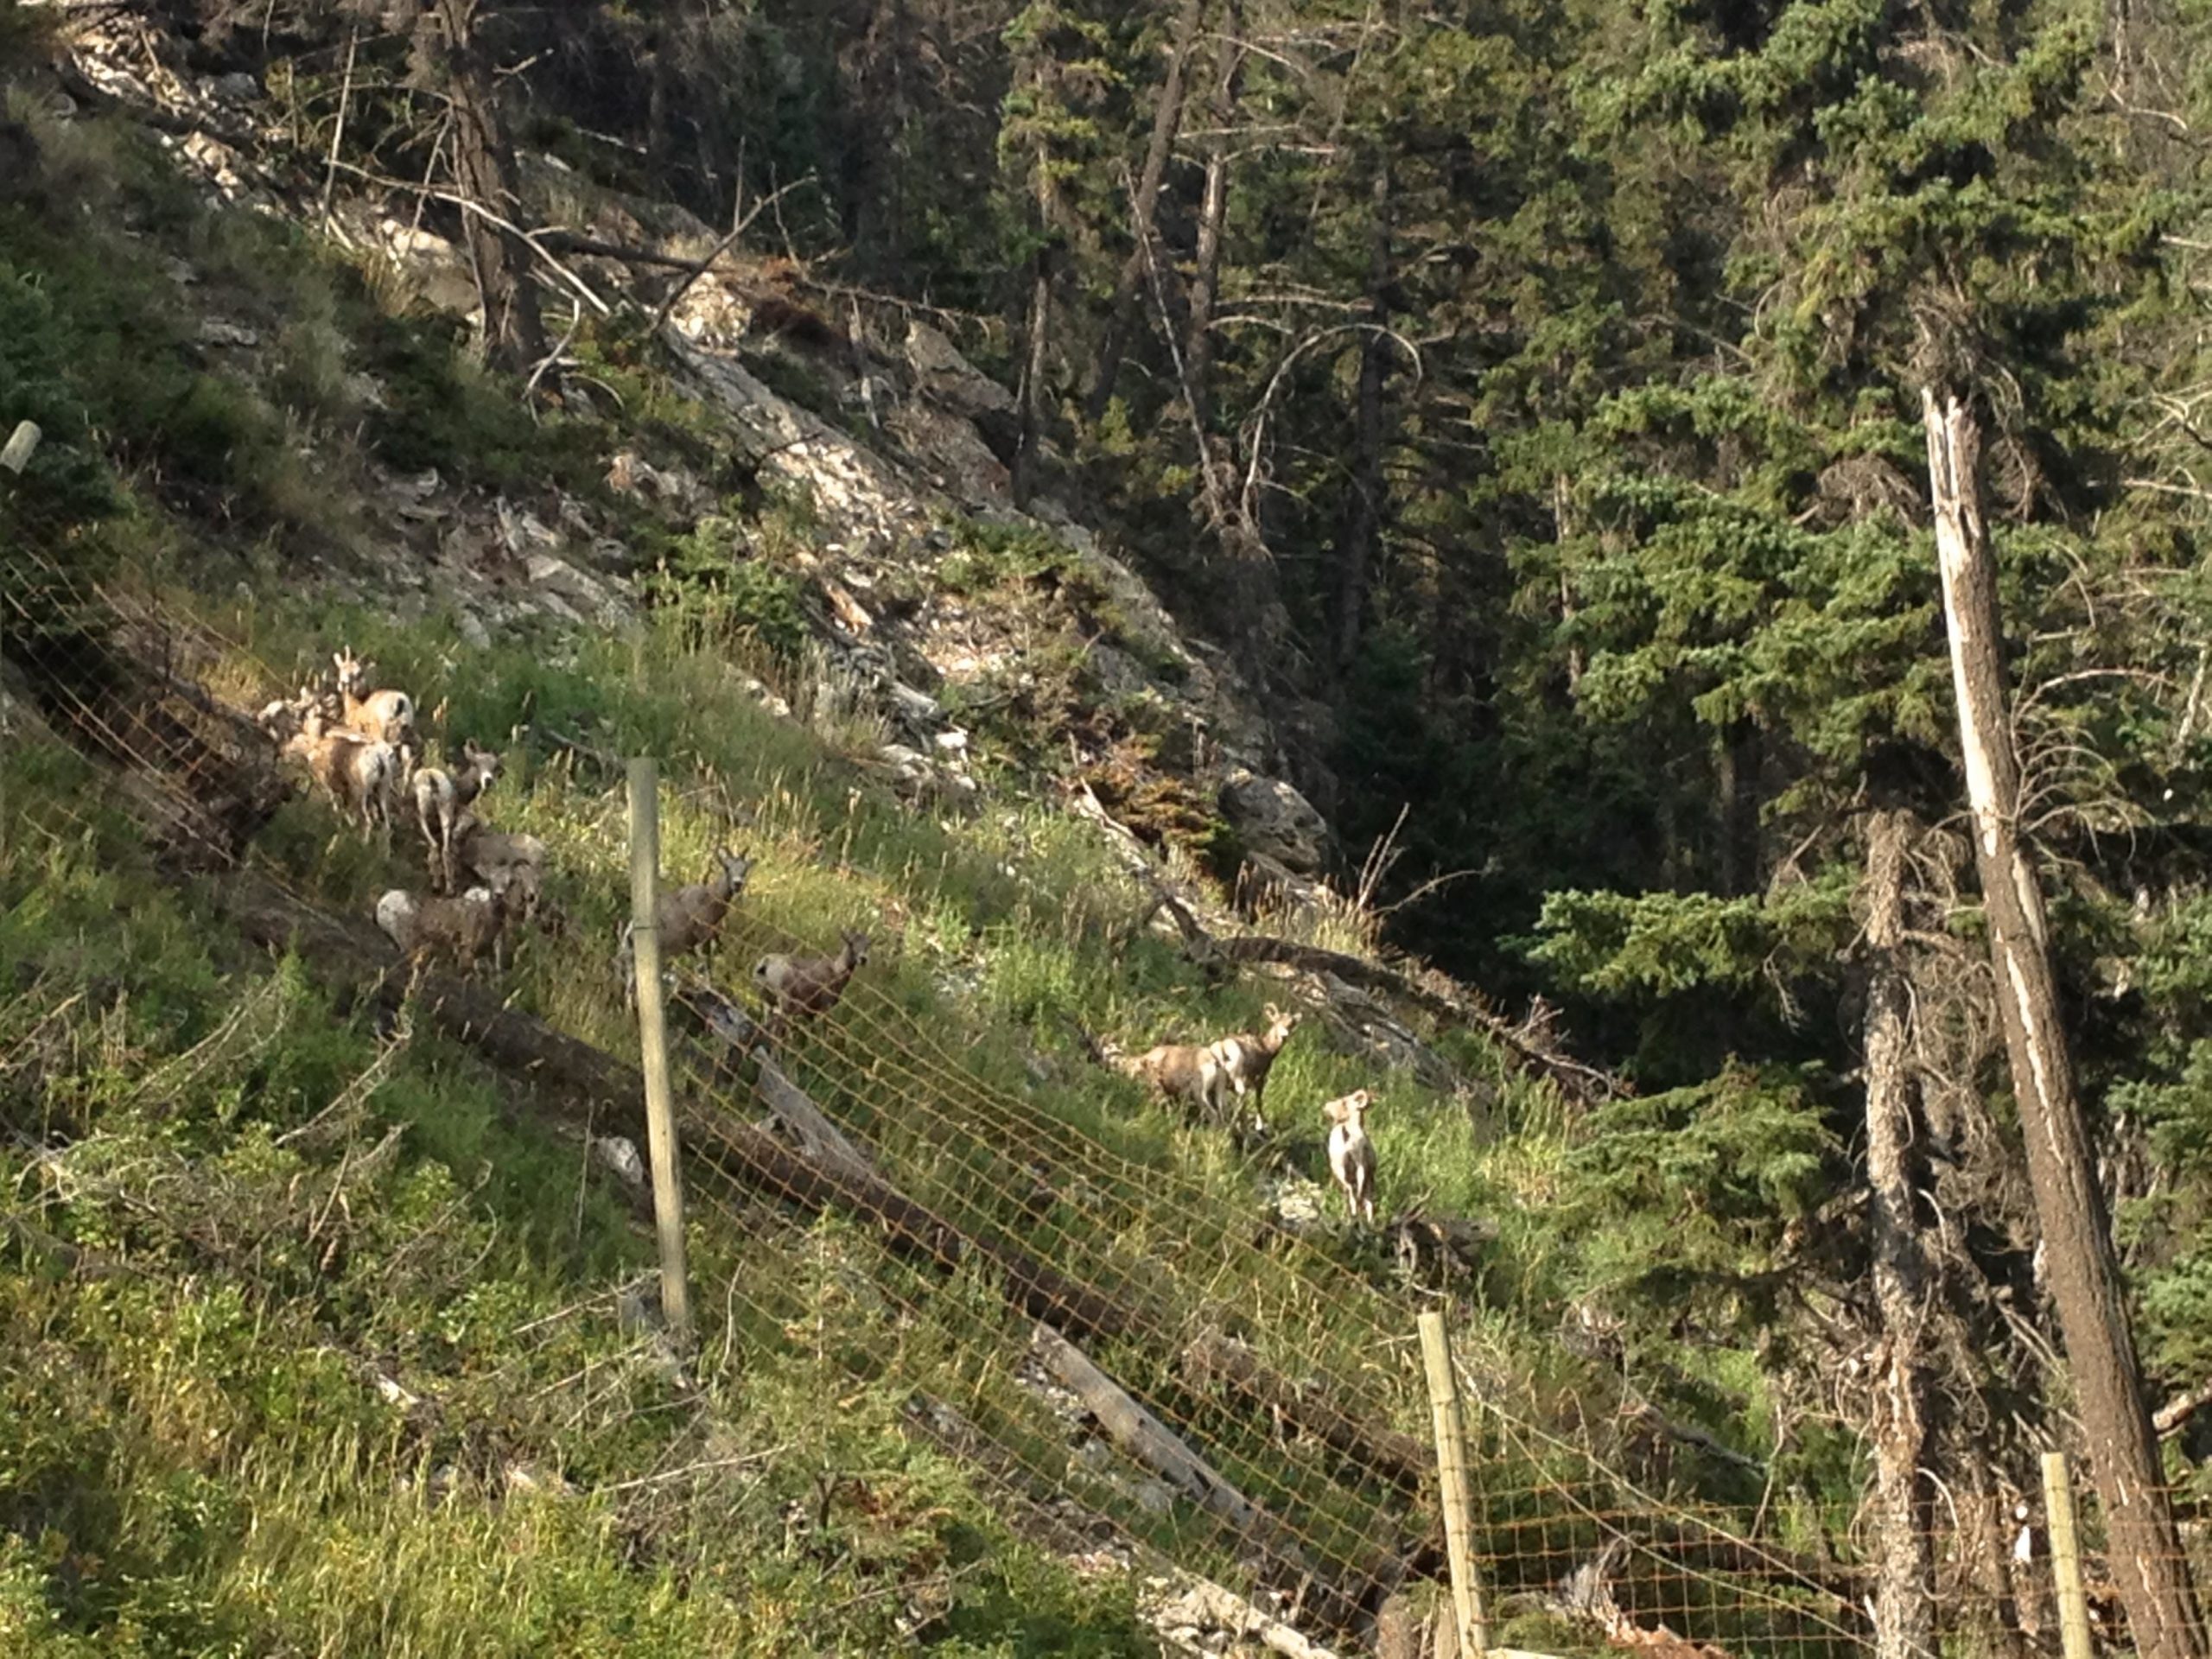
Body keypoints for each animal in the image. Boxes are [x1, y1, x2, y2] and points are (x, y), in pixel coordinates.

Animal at [414, 739, 503, 892]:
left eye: (494, 766)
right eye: (475, 763)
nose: (488, 780)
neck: (460, 791)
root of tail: (431, 777)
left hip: (428, 814)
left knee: (438, 847)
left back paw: (440, 886)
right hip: (440, 816)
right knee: (442, 849)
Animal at [618, 849, 752, 1005]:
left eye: (745, 869)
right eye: (726, 867)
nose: (737, 884)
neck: (711, 899)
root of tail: (628, 934)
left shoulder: (692, 944)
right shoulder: (702, 936)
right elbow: (705, 964)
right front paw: (707, 991)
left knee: (630, 990)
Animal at [752, 929, 870, 1045]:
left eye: (867, 945)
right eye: (850, 943)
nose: (863, 959)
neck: (836, 973)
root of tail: (766, 963)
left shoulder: (809, 1012)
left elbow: (811, 1035)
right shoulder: (825, 1007)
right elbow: (823, 1033)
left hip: (767, 1001)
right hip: (784, 1002)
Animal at [1203, 1002, 1303, 1137]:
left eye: (1291, 1024)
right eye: (1277, 1021)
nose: (1284, 1035)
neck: (1266, 1048)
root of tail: (1222, 1047)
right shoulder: (1260, 1080)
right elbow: (1258, 1102)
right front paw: (1260, 1128)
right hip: (1238, 1081)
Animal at [1323, 1089, 1379, 1224]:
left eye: (1344, 1102)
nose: (1326, 1106)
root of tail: (1361, 1147)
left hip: (1345, 1174)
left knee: (1352, 1197)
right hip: (1369, 1180)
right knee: (1368, 1204)